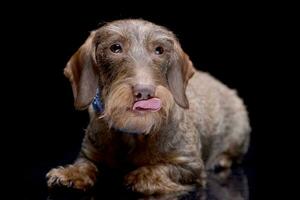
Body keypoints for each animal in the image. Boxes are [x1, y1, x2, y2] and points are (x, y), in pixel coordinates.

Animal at [45, 19, 250, 195]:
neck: (133, 132)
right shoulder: (89, 153)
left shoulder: (190, 165)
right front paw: (70, 174)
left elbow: (159, 169)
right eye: (115, 48)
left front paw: (139, 177)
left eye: (159, 50)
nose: (144, 92)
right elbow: (85, 164)